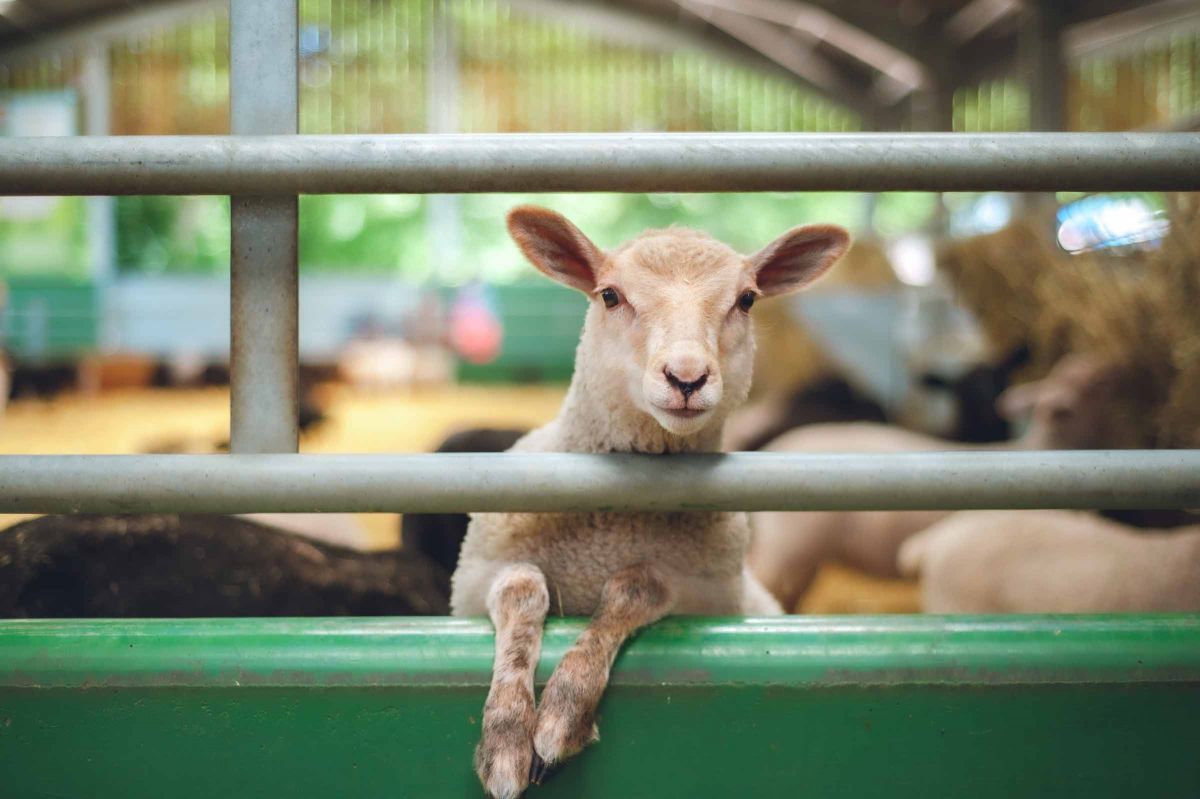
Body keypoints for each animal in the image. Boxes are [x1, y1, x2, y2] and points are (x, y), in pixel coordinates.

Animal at [452, 206, 849, 798]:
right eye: (610, 295)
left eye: (747, 299)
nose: (686, 378)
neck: (612, 527)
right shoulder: (474, 579)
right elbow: (523, 590)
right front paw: (505, 737)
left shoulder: (703, 593)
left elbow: (636, 587)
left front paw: (560, 718)